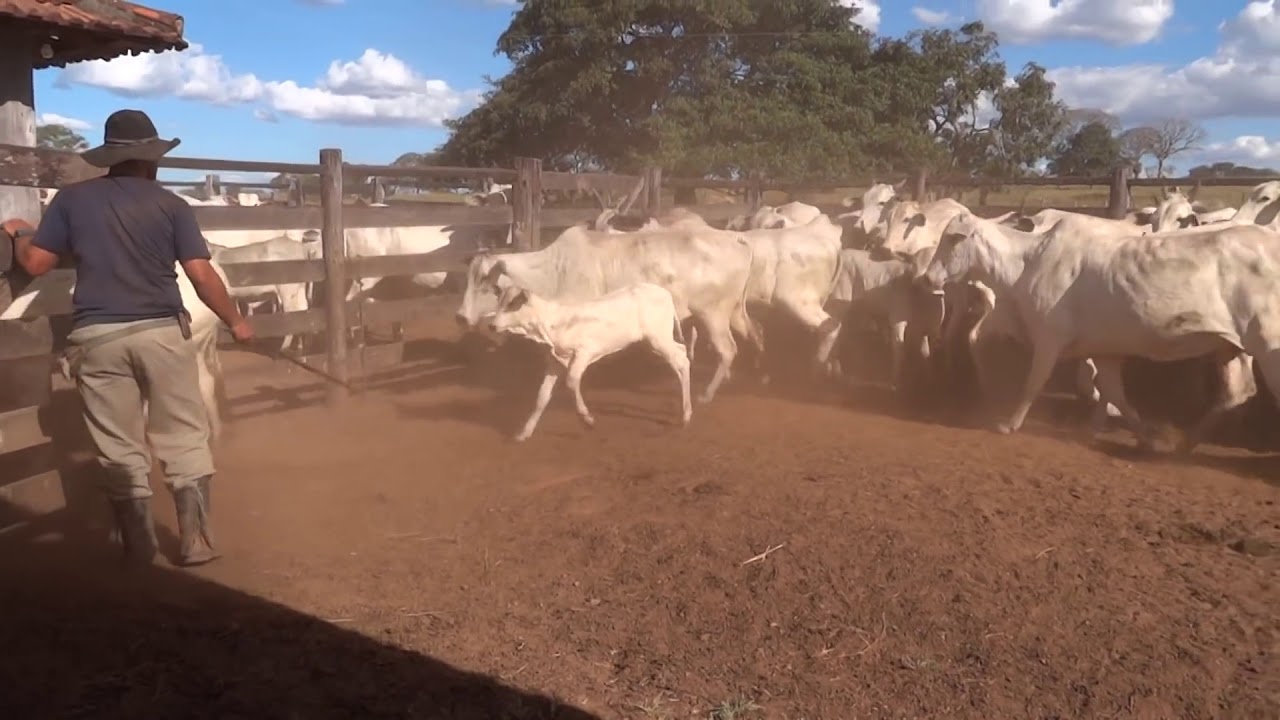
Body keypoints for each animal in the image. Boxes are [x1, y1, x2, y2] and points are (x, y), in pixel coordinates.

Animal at [456, 223, 755, 404]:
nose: (460, 316)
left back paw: (706, 394)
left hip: (713, 315)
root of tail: (737, 240)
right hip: (727, 314)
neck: (552, 272)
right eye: (469, 278)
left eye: (487, 283)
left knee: (727, 350)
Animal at [484, 283, 693, 441]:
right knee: (681, 354)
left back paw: (686, 415)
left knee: (682, 362)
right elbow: (542, 396)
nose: (492, 325)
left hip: (658, 338)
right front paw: (524, 433)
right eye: (499, 301)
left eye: (513, 304)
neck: (551, 323)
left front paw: (586, 418)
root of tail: (663, 292)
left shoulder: (584, 352)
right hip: (654, 341)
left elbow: (572, 381)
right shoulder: (554, 362)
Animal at [918, 212, 1279, 454]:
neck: (1026, 263)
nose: (927, 278)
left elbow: (1034, 382)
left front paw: (1008, 424)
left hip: (1267, 343)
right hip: (1231, 347)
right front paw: (1143, 437)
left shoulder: (1050, 338)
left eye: (953, 239)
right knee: (1236, 393)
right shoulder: (1104, 351)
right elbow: (1114, 393)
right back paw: (1184, 445)